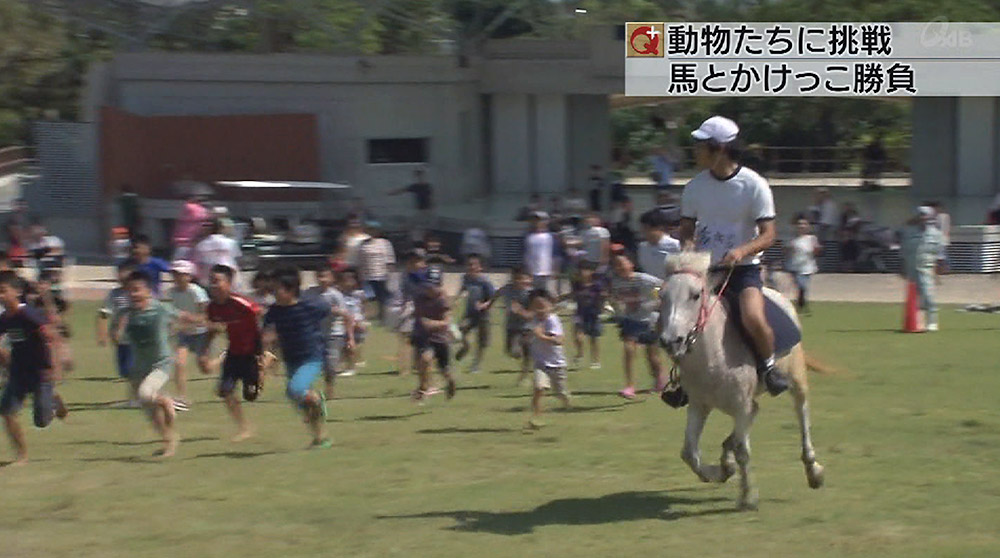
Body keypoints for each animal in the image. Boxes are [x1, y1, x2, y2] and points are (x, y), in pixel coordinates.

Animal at [656, 255, 820, 512]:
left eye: (695, 295)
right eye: (661, 295)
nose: (671, 341)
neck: (714, 354)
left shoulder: (740, 404)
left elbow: (744, 452)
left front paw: (747, 496)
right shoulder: (699, 405)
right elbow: (689, 452)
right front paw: (719, 472)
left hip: (796, 378)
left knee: (802, 416)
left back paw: (813, 470)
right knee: (753, 415)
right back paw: (726, 457)